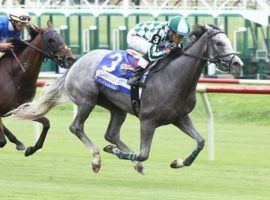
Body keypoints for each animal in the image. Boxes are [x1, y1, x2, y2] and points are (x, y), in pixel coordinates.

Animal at [0, 20, 76, 155]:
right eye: (51, 40)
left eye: (61, 36)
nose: (71, 58)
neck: (15, 77)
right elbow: (1, 141)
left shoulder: (22, 108)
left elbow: (46, 123)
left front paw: (32, 149)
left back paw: (18, 143)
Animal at [9, 23, 244, 173]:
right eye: (220, 44)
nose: (237, 63)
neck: (173, 77)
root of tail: (76, 62)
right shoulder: (148, 121)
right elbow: (143, 154)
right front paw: (118, 155)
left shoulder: (180, 118)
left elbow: (201, 142)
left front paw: (178, 162)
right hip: (87, 101)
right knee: (77, 127)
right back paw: (96, 158)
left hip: (117, 108)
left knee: (111, 134)